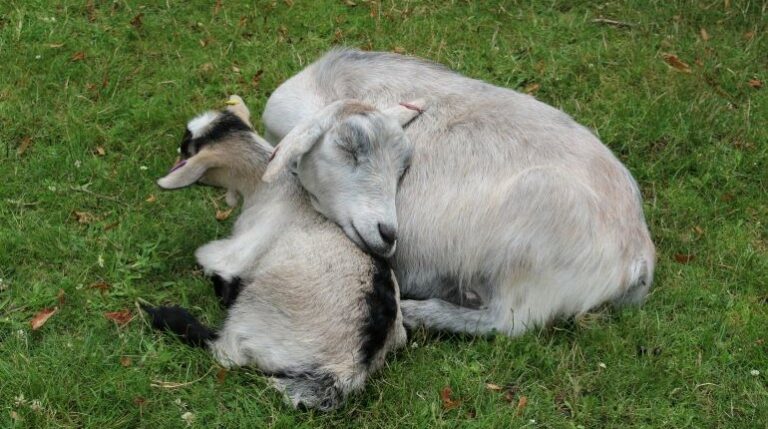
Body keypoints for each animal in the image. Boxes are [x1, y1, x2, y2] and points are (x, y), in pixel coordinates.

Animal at [143, 95, 422, 410]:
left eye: (188, 142)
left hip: (252, 317)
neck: (268, 188)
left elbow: (210, 260)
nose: (177, 153)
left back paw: (164, 315)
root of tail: (349, 367)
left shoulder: (237, 250)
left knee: (225, 350)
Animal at [261, 48, 656, 336]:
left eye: (403, 168)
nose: (388, 233)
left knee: (507, 322)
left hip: (532, 245)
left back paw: (418, 312)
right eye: (349, 147)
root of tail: (638, 254)